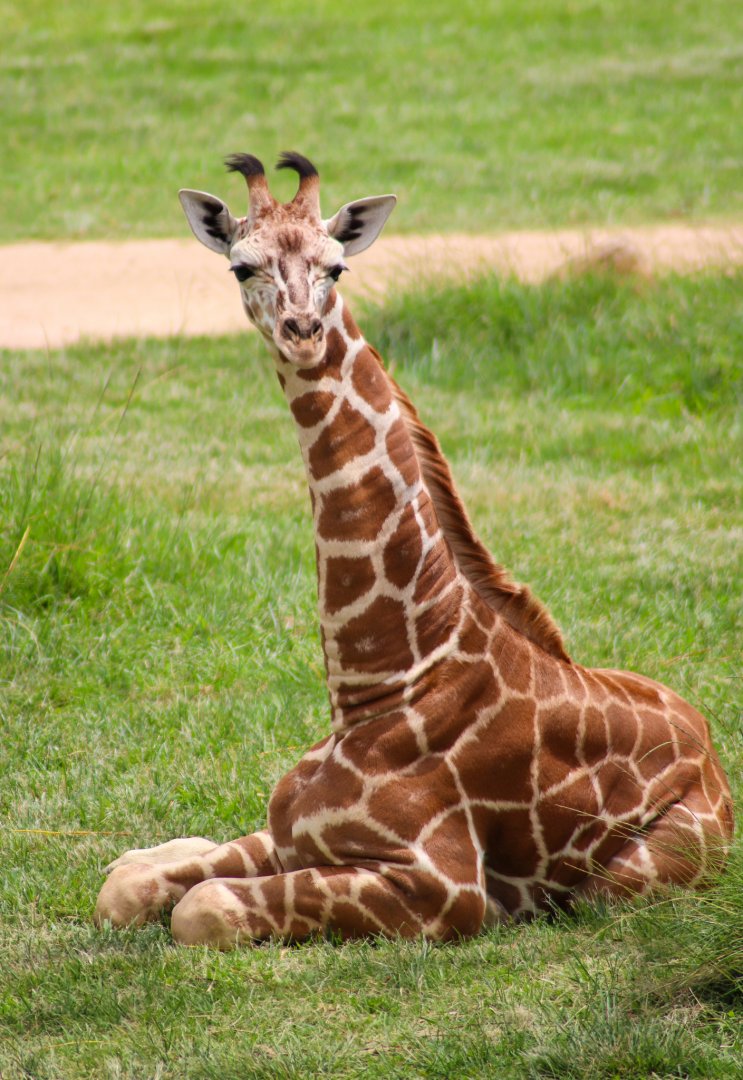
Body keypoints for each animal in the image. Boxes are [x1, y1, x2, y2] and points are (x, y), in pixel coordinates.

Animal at [94, 153, 733, 947]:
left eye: (336, 266)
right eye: (242, 266)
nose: (302, 330)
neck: (382, 679)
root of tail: (712, 752)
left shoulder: (445, 889)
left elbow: (200, 909)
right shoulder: (294, 834)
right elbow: (128, 892)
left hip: (620, 884)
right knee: (138, 863)